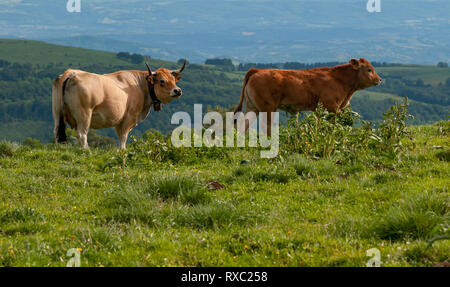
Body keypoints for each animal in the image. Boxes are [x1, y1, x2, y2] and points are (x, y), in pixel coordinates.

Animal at [52, 61, 186, 150]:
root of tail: (71, 73)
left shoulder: (119, 121)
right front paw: (123, 151)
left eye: (174, 80)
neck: (140, 86)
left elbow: (120, 136)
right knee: (82, 134)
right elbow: (123, 137)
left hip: (57, 112)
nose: (178, 90)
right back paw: (87, 151)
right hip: (84, 114)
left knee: (57, 132)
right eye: (162, 81)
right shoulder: (129, 117)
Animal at [234, 58, 382, 136]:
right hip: (268, 108)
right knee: (266, 126)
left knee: (244, 125)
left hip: (252, 107)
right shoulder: (331, 107)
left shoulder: (319, 109)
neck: (340, 80)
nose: (379, 79)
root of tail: (257, 70)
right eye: (369, 69)